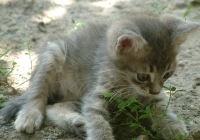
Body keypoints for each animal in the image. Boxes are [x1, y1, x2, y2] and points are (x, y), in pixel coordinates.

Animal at [0, 12, 199, 140]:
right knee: (37, 93)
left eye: (167, 74)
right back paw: (29, 115)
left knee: (53, 107)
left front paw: (174, 126)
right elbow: (97, 120)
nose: (155, 90)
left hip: (76, 94)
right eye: (142, 76)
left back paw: (78, 123)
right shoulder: (96, 94)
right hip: (54, 54)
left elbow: (161, 106)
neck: (127, 83)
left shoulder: (150, 95)